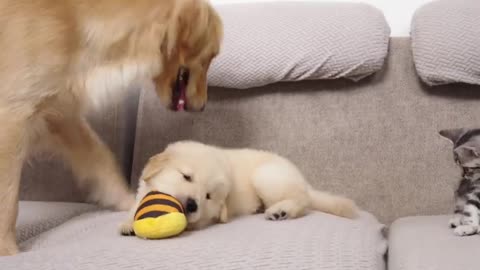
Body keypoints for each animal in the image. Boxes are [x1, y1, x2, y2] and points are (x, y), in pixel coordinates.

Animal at [0, 0, 222, 255]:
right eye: (210, 57)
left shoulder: (60, 112)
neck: (74, 22)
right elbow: (7, 200)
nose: (203, 106)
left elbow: (100, 159)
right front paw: (7, 250)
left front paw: (128, 201)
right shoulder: (13, 114)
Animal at [122, 141, 358, 234]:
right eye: (186, 177)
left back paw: (280, 211)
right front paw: (128, 224)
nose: (191, 205)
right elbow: (135, 207)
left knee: (303, 200)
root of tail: (303, 180)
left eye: (207, 196)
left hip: (266, 176)